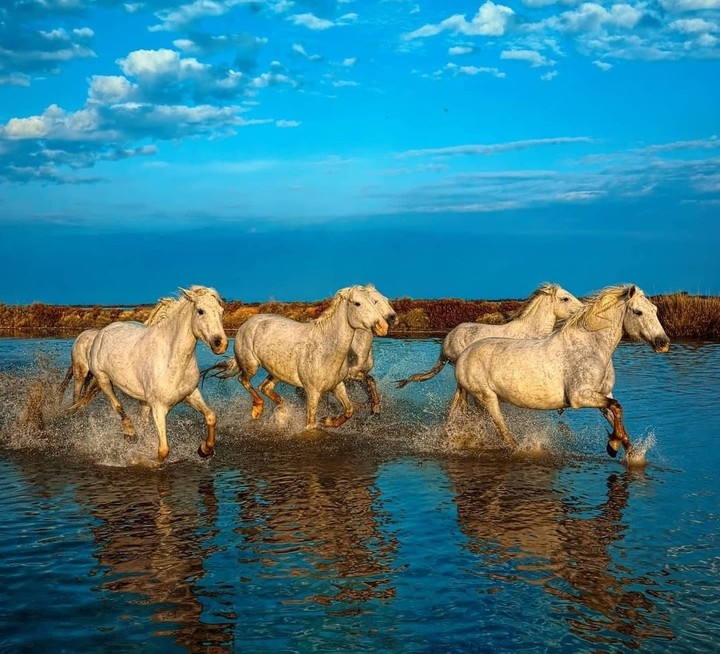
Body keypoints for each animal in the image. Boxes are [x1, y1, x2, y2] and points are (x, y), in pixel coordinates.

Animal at [68, 286, 227, 465]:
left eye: (221, 311)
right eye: (200, 311)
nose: (220, 343)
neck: (171, 359)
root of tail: (101, 332)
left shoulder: (190, 394)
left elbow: (211, 416)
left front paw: (204, 450)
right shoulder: (158, 407)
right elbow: (163, 450)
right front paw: (140, 460)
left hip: (142, 401)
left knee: (141, 423)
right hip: (103, 379)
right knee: (117, 405)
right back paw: (130, 433)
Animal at [204, 284, 395, 430]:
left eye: (374, 302)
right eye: (357, 303)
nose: (383, 325)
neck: (326, 349)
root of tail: (249, 322)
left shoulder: (338, 385)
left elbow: (349, 410)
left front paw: (328, 421)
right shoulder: (313, 392)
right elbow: (310, 424)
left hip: (276, 372)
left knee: (265, 387)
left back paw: (283, 410)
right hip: (251, 365)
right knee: (244, 380)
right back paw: (258, 410)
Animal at [449, 284, 670, 457]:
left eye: (655, 309)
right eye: (638, 312)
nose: (663, 343)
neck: (591, 347)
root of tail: (463, 357)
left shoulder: (603, 393)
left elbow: (617, 412)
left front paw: (628, 452)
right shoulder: (579, 397)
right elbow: (617, 407)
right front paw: (613, 445)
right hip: (487, 398)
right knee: (504, 433)